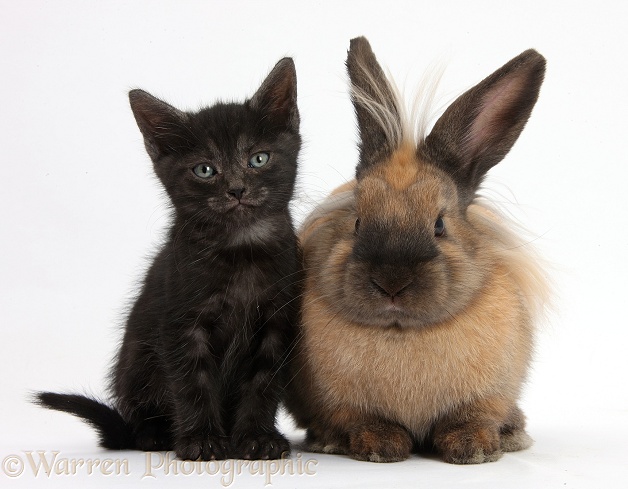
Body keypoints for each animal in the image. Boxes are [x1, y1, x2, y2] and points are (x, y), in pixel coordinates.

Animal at [35, 58, 302, 462]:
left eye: (259, 159)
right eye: (204, 169)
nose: (237, 189)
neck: (240, 251)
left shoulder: (277, 322)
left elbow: (263, 382)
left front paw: (258, 437)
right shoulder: (180, 321)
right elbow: (192, 382)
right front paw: (202, 440)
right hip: (136, 362)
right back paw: (155, 435)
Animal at [288, 37, 552, 462]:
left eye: (439, 225)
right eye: (357, 221)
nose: (391, 283)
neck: (403, 332)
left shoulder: (486, 397)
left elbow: (472, 418)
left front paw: (472, 448)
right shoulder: (342, 404)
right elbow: (362, 421)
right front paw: (380, 445)